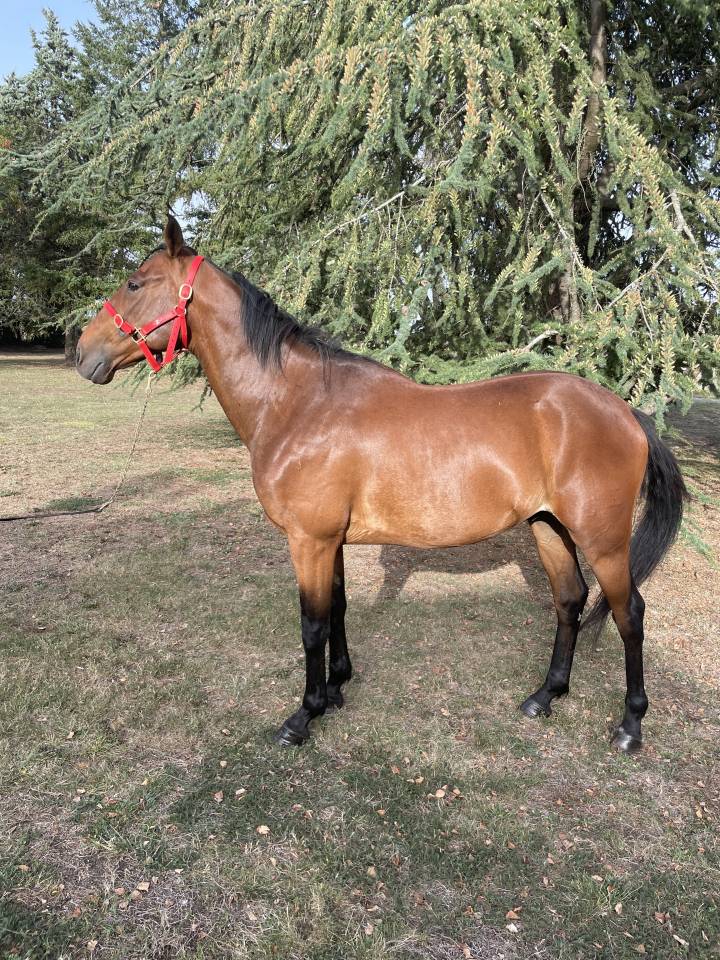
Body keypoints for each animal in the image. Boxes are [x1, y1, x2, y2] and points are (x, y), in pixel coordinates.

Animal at [76, 217, 687, 753]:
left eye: (135, 283)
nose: (82, 352)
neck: (298, 403)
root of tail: (626, 413)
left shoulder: (309, 540)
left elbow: (312, 624)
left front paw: (303, 715)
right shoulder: (330, 542)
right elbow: (339, 609)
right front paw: (336, 689)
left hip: (602, 540)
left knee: (629, 614)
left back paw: (630, 726)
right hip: (548, 528)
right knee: (569, 599)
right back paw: (545, 696)